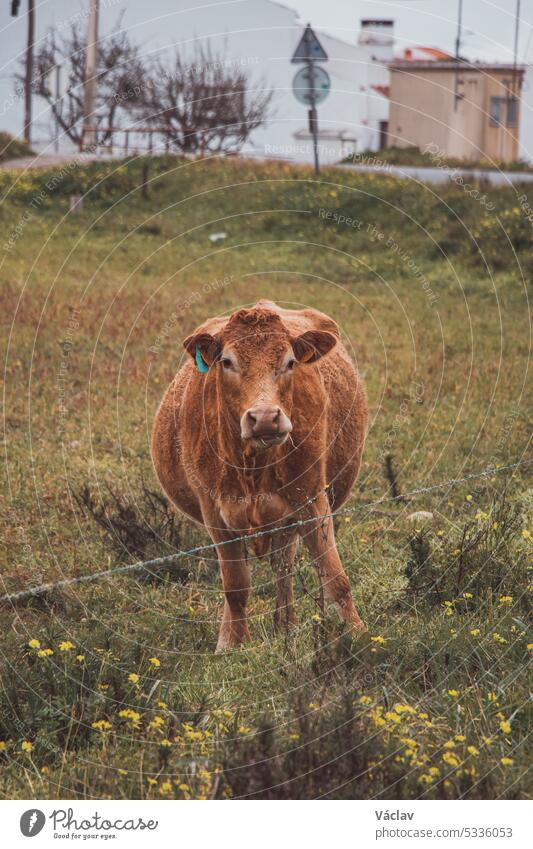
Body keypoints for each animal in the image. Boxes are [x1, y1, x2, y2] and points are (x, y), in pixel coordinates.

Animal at [150, 302, 366, 652]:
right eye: (226, 362)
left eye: (290, 362)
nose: (265, 418)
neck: (253, 467)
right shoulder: (215, 513)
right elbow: (236, 588)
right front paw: (234, 646)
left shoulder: (312, 500)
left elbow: (336, 578)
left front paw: (361, 634)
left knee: (284, 565)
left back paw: (286, 626)